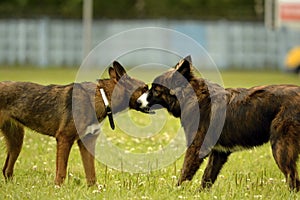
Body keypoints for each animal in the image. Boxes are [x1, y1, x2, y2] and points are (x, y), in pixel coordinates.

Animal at [0, 61, 148, 186]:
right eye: (145, 88)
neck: (103, 97)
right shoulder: (64, 139)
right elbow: (61, 172)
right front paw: (58, 189)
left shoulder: (87, 142)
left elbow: (91, 174)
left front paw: (94, 190)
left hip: (16, 142)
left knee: (6, 169)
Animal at [139, 56, 300, 192]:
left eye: (155, 90)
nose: (138, 101)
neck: (191, 96)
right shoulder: (219, 153)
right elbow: (207, 177)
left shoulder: (197, 147)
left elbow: (185, 173)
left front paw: (176, 192)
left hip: (281, 147)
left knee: (293, 178)